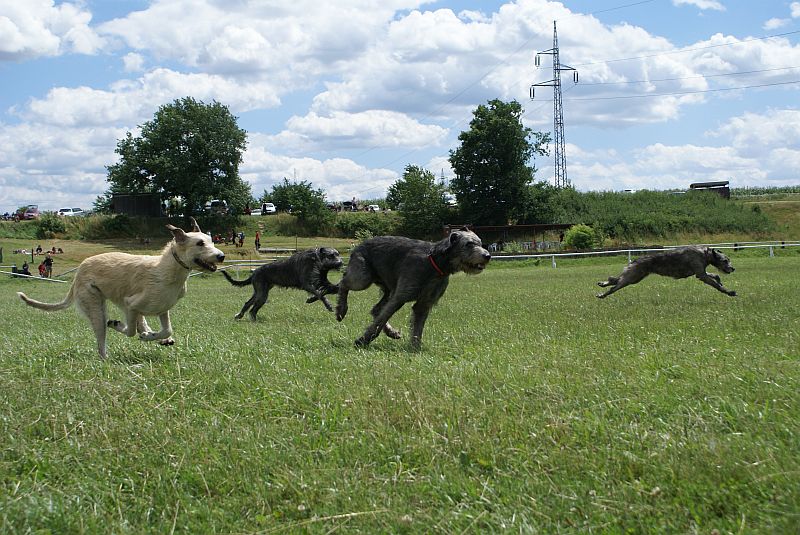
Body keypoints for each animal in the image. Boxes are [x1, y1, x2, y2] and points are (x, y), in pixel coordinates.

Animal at [18, 218, 224, 358]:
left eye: (212, 240)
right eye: (200, 243)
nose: (221, 256)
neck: (168, 271)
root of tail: (78, 273)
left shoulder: (161, 308)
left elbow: (167, 329)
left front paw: (154, 335)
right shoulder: (130, 304)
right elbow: (131, 331)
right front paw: (121, 326)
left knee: (143, 324)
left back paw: (155, 336)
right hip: (95, 306)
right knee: (103, 338)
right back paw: (106, 357)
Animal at [335, 228, 491, 349]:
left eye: (480, 243)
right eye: (469, 244)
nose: (487, 255)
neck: (435, 262)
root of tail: (359, 245)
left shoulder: (424, 303)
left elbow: (417, 326)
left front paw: (415, 348)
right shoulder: (400, 297)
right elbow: (381, 320)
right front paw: (363, 340)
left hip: (388, 289)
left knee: (376, 309)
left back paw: (391, 332)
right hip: (363, 278)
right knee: (343, 283)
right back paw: (341, 309)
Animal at [596, 246, 736, 298]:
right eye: (725, 260)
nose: (733, 268)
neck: (705, 253)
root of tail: (635, 260)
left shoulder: (700, 272)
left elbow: (715, 275)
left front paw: (721, 282)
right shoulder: (701, 274)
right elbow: (715, 284)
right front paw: (729, 292)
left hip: (636, 276)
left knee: (615, 280)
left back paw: (603, 284)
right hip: (633, 276)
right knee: (616, 285)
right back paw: (603, 294)